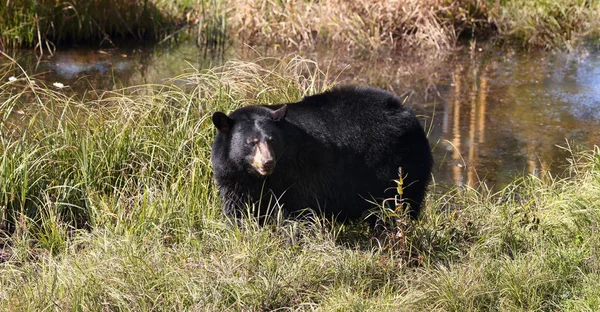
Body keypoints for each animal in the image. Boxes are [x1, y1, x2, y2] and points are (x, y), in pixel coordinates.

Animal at [211, 84, 432, 223]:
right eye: (252, 142)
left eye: (272, 140)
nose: (268, 162)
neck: (258, 177)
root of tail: (407, 112)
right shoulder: (232, 175)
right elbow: (238, 206)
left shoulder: (297, 173)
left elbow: (296, 210)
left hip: (399, 165)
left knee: (398, 204)